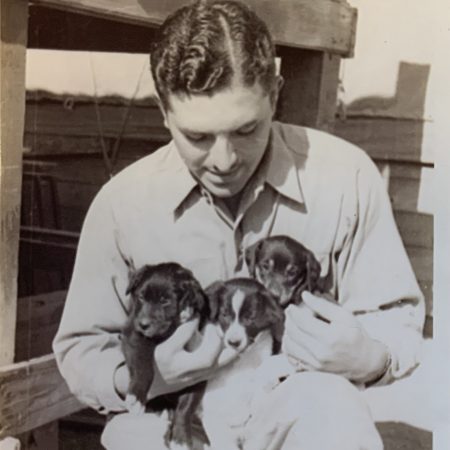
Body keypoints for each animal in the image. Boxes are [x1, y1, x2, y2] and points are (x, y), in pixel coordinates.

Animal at [121, 262, 209, 448]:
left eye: (165, 301)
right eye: (141, 297)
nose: (144, 324)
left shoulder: (199, 370)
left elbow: (187, 405)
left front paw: (181, 438)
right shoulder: (133, 333)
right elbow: (142, 366)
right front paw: (136, 396)